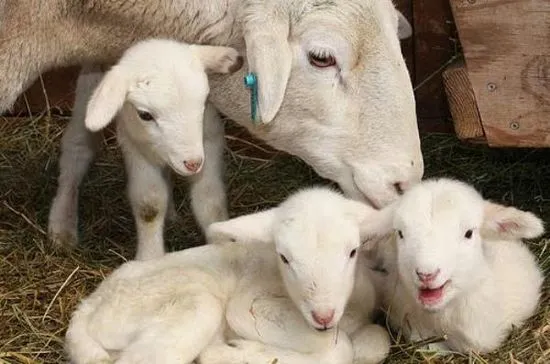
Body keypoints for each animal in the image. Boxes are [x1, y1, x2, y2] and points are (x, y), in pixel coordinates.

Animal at [49, 39, 244, 260]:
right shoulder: (134, 145)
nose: (192, 163)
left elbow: (211, 200)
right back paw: (62, 224)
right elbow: (149, 205)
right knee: (77, 148)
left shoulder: (210, 138)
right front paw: (150, 258)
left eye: (204, 102)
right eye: (145, 115)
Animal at [64, 188, 392, 364]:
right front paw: (239, 351)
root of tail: (86, 308)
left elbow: (377, 340)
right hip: (195, 306)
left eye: (353, 251)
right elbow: (339, 348)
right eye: (284, 257)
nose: (323, 316)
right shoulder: (248, 306)